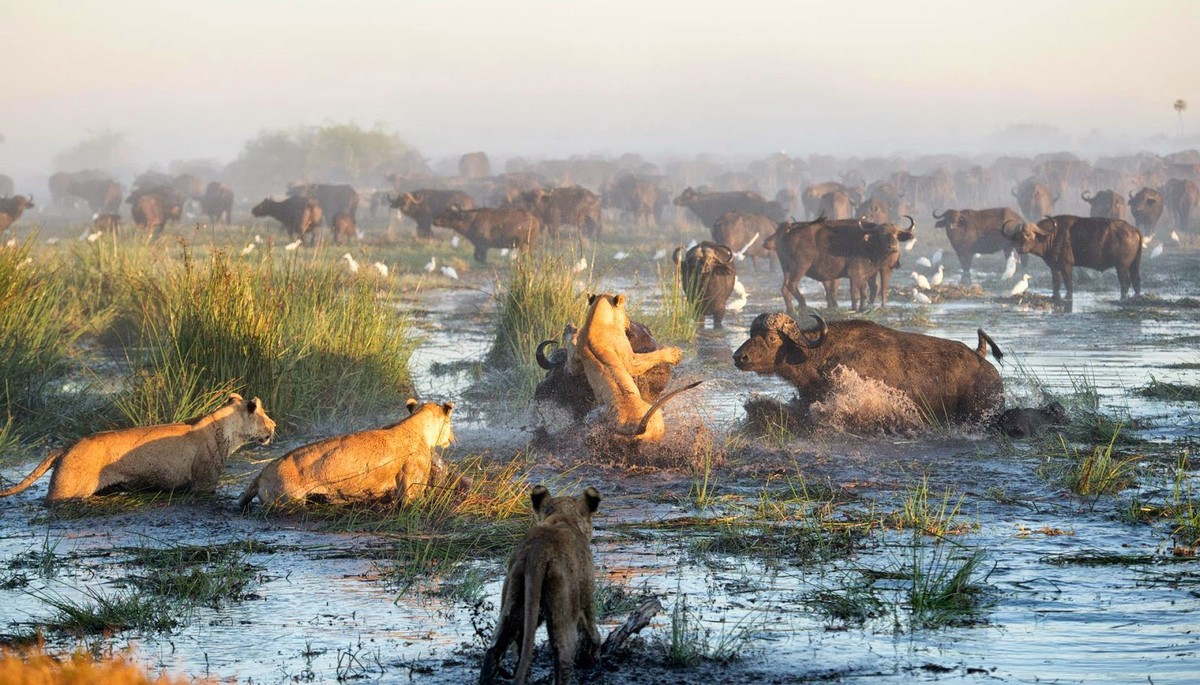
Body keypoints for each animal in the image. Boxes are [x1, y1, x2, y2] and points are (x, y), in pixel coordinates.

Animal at [1003, 215, 1142, 309]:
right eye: (1019, 236)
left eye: (1030, 235)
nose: (1021, 249)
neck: (1053, 236)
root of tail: (1134, 229)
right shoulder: (1054, 267)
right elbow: (1056, 283)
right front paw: (1056, 297)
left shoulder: (1067, 265)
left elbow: (1068, 283)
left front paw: (1068, 298)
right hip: (1134, 265)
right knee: (1136, 280)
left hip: (1122, 266)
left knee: (1125, 283)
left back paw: (1122, 299)